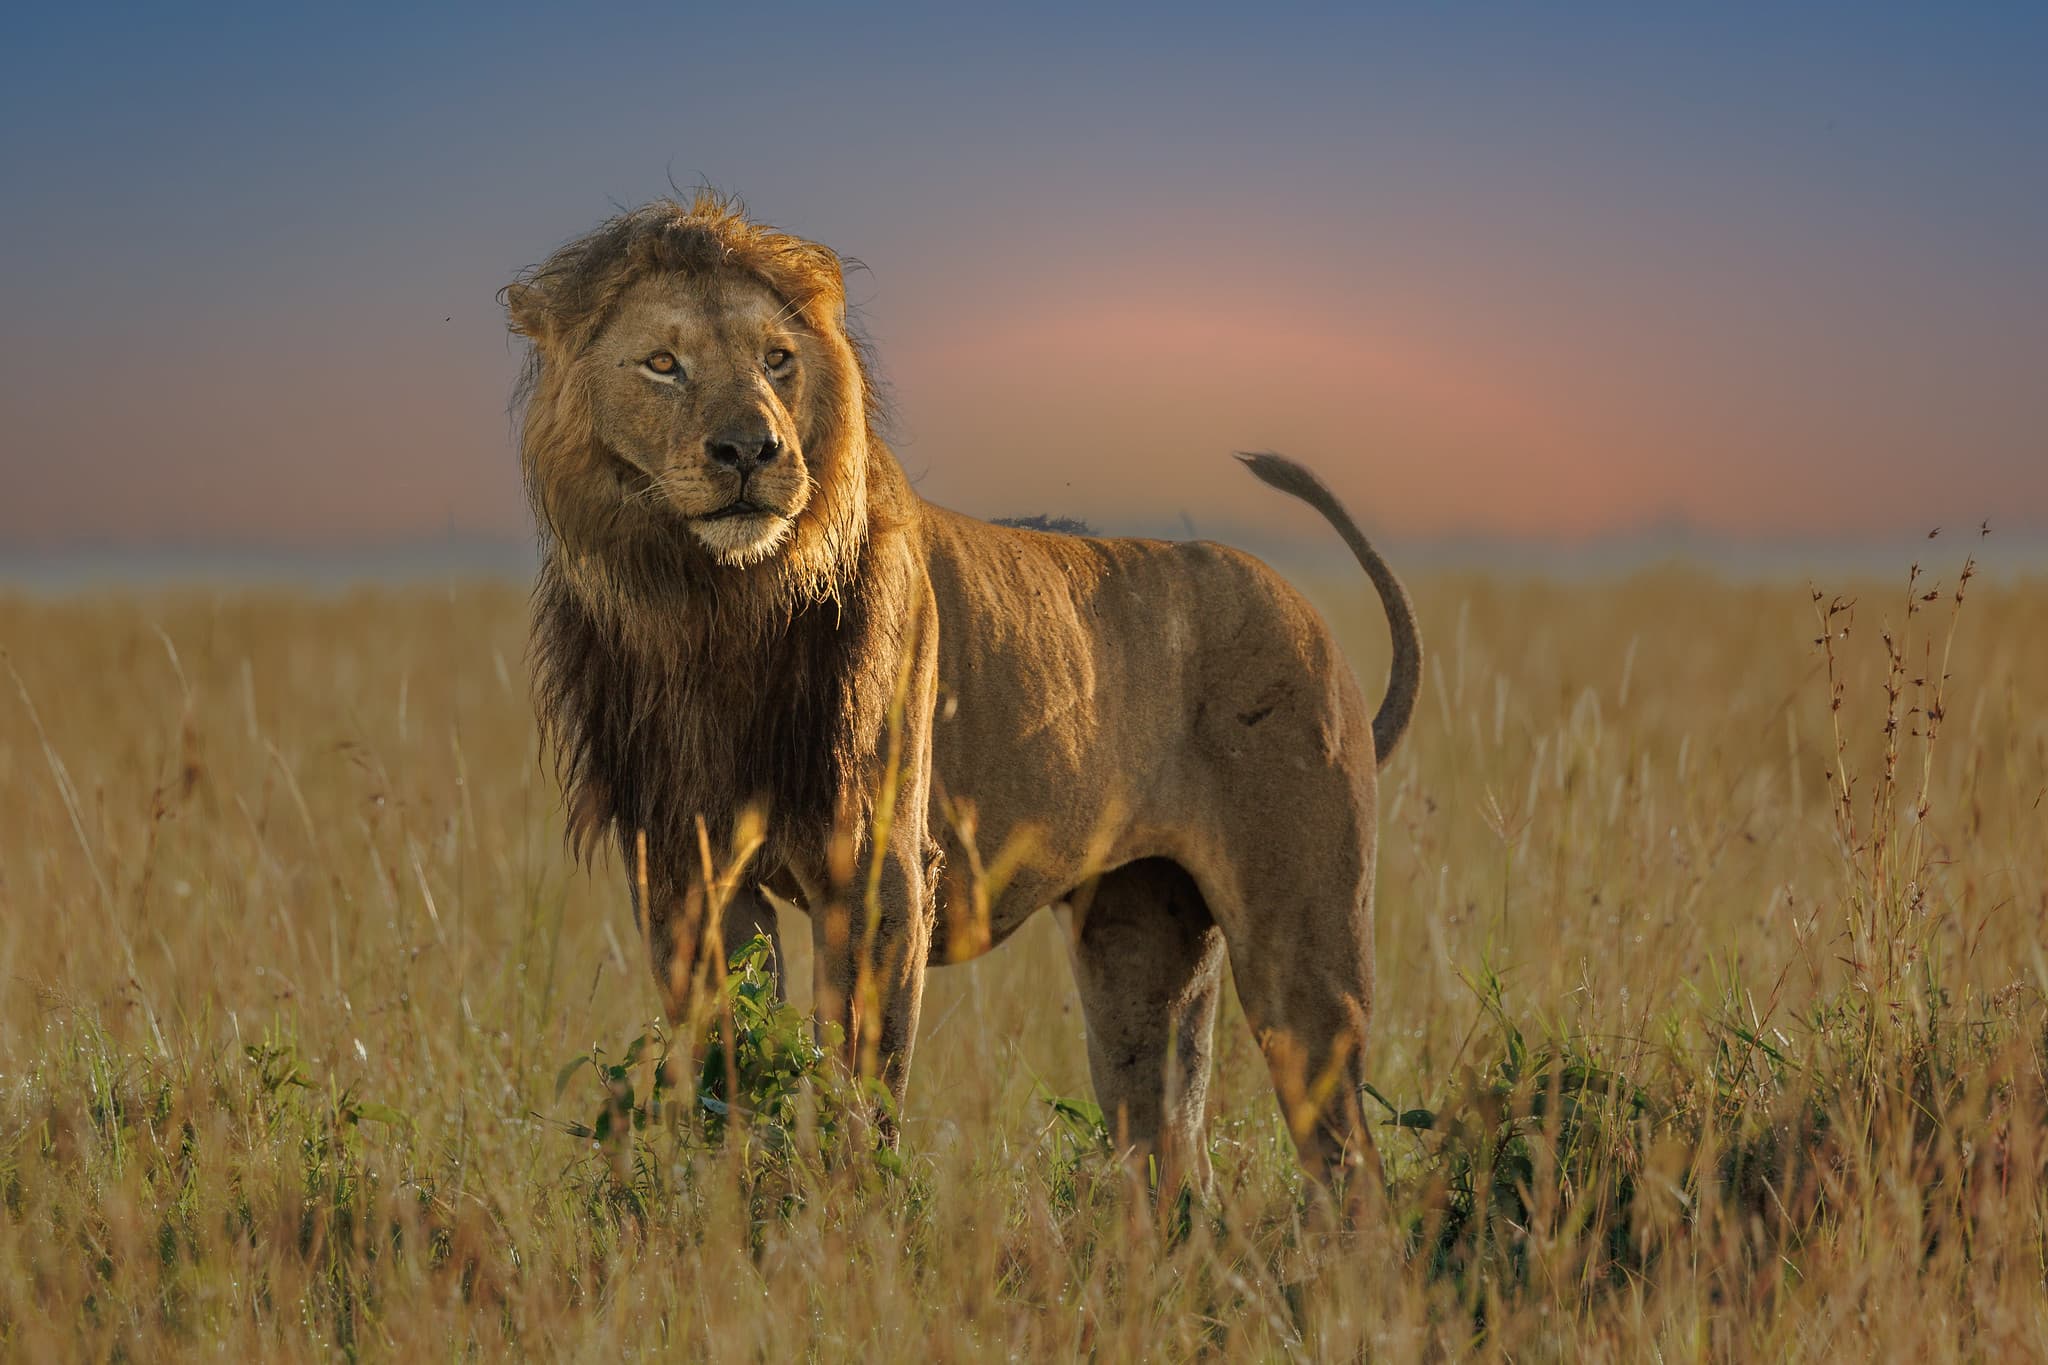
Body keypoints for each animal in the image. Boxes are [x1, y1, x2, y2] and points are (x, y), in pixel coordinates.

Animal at [503, 192, 1422, 1203]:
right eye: (662, 364)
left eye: (777, 359)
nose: (751, 448)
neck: (720, 608)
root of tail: (1308, 618)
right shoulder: (686, 873)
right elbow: (727, 1063)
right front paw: (733, 1199)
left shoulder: (878, 870)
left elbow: (859, 1077)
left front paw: (848, 1214)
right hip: (1139, 944)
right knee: (1172, 1149)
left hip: (1303, 941)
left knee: (1348, 1159)